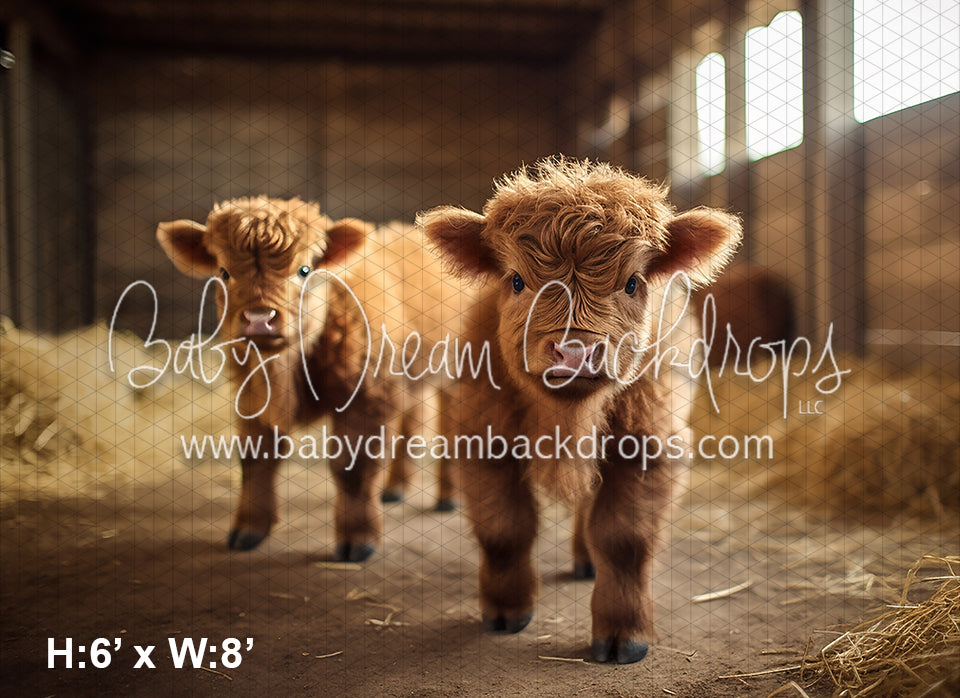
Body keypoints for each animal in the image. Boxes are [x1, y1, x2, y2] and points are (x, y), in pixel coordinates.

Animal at [420, 158, 741, 663]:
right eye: (517, 280)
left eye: (632, 282)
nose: (574, 351)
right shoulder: (482, 436)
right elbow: (504, 530)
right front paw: (505, 610)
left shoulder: (648, 444)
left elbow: (623, 539)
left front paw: (624, 632)